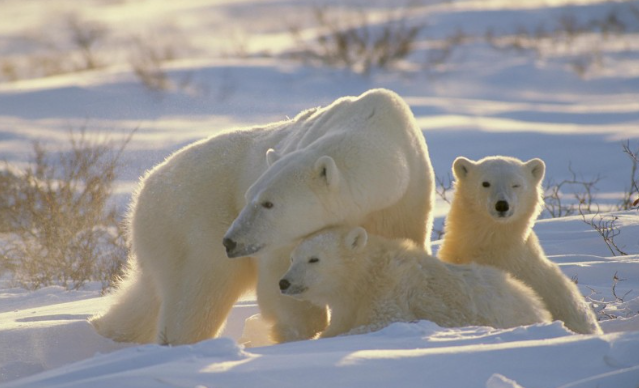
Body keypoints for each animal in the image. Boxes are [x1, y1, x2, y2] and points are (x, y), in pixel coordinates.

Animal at [90, 88, 438, 346]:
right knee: (200, 292)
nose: (230, 241)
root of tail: (145, 186)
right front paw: (301, 329)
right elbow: (280, 277)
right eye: (250, 197)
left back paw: (105, 329)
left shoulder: (406, 202)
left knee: (147, 295)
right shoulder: (282, 239)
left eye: (268, 203)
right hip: (190, 222)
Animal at [280, 226, 556, 338]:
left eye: (314, 259)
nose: (284, 282)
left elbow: (384, 321)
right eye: (292, 258)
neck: (366, 274)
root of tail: (537, 304)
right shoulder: (347, 303)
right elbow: (336, 325)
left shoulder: (392, 289)